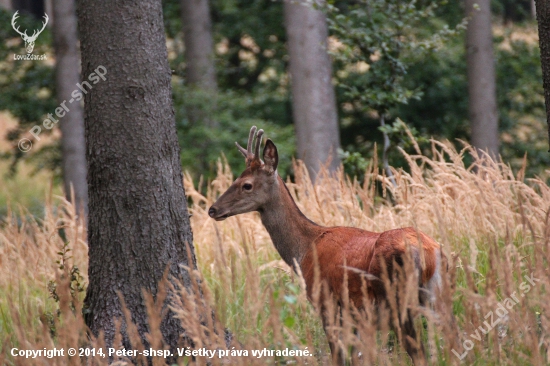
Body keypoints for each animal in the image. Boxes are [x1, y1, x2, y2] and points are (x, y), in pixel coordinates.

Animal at [209, 126, 446, 364]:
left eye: (246, 185)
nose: (213, 209)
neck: (304, 249)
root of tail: (427, 253)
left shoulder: (326, 302)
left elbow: (338, 356)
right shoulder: (353, 315)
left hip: (398, 297)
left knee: (419, 353)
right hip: (435, 294)